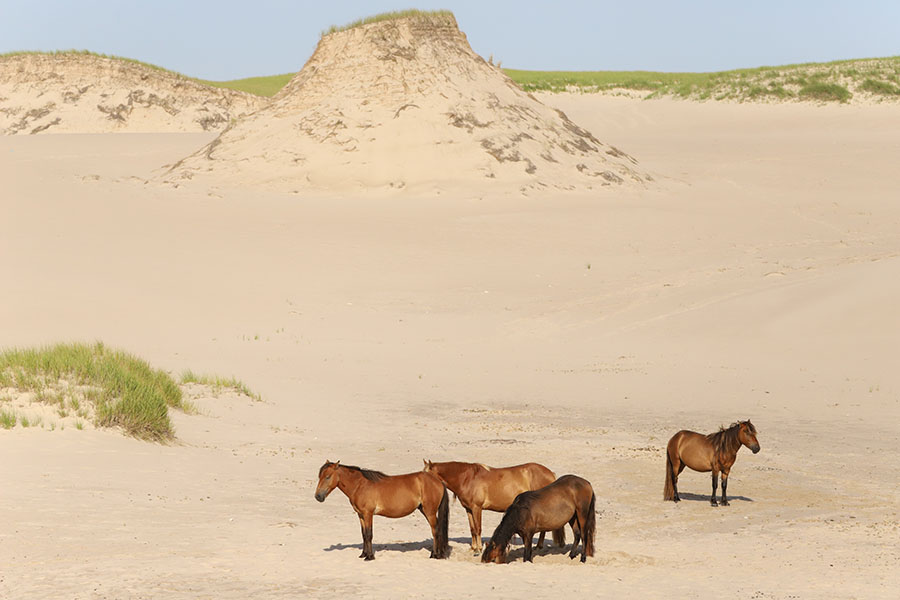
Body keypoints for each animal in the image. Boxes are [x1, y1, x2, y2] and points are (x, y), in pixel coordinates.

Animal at [315, 460, 450, 560]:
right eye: (319, 476)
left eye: (327, 477)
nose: (318, 497)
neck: (360, 485)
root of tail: (438, 481)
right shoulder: (361, 515)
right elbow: (363, 534)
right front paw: (363, 554)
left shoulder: (368, 514)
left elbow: (369, 534)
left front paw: (369, 557)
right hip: (425, 510)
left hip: (430, 512)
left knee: (435, 531)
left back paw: (435, 555)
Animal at [423, 460, 566, 553]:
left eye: (428, 474)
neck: (467, 478)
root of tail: (550, 473)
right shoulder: (468, 509)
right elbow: (472, 529)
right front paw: (473, 548)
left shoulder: (477, 508)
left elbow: (478, 528)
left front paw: (479, 549)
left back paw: (538, 546)